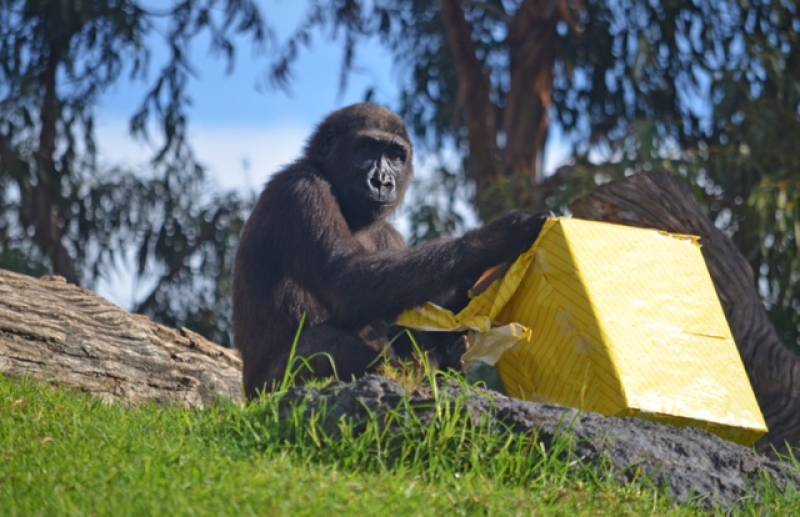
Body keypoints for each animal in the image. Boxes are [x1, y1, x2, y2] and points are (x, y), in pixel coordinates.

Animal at [231, 103, 544, 398]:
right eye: (368, 147)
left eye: (395, 156)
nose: (382, 181)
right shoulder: (301, 191)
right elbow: (346, 282)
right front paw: (493, 239)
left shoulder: (391, 236)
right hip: (264, 391)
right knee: (325, 344)